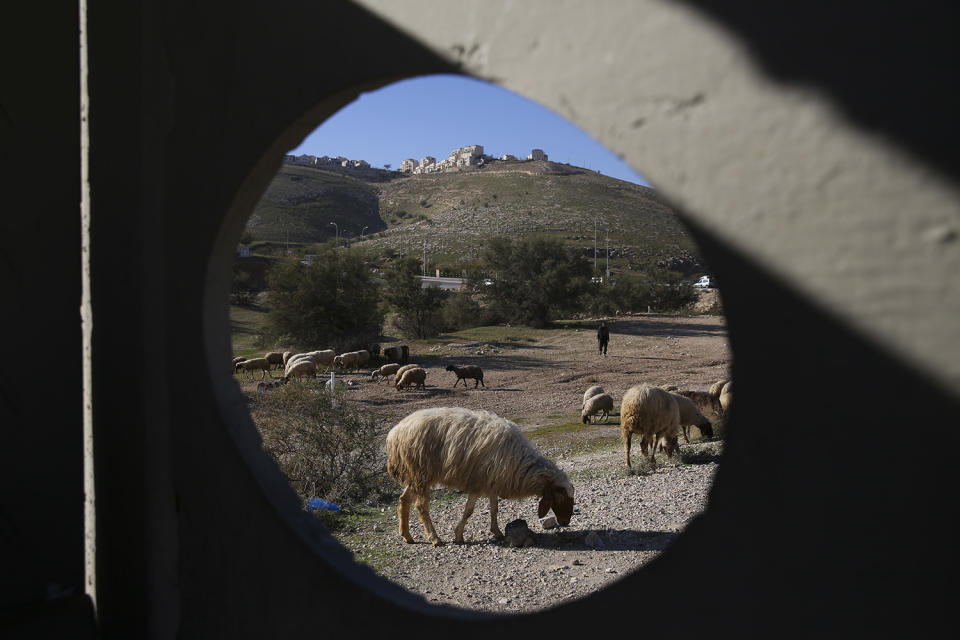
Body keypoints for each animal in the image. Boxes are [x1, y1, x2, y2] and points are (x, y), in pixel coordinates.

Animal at [384, 408, 576, 548]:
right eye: (560, 497)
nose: (566, 522)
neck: (521, 464)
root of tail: (395, 433)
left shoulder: (492, 482)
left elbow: (494, 509)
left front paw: (497, 532)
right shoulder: (478, 482)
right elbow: (469, 511)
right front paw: (458, 536)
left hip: (415, 476)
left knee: (404, 500)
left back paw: (407, 536)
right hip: (422, 473)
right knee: (421, 506)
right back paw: (434, 538)